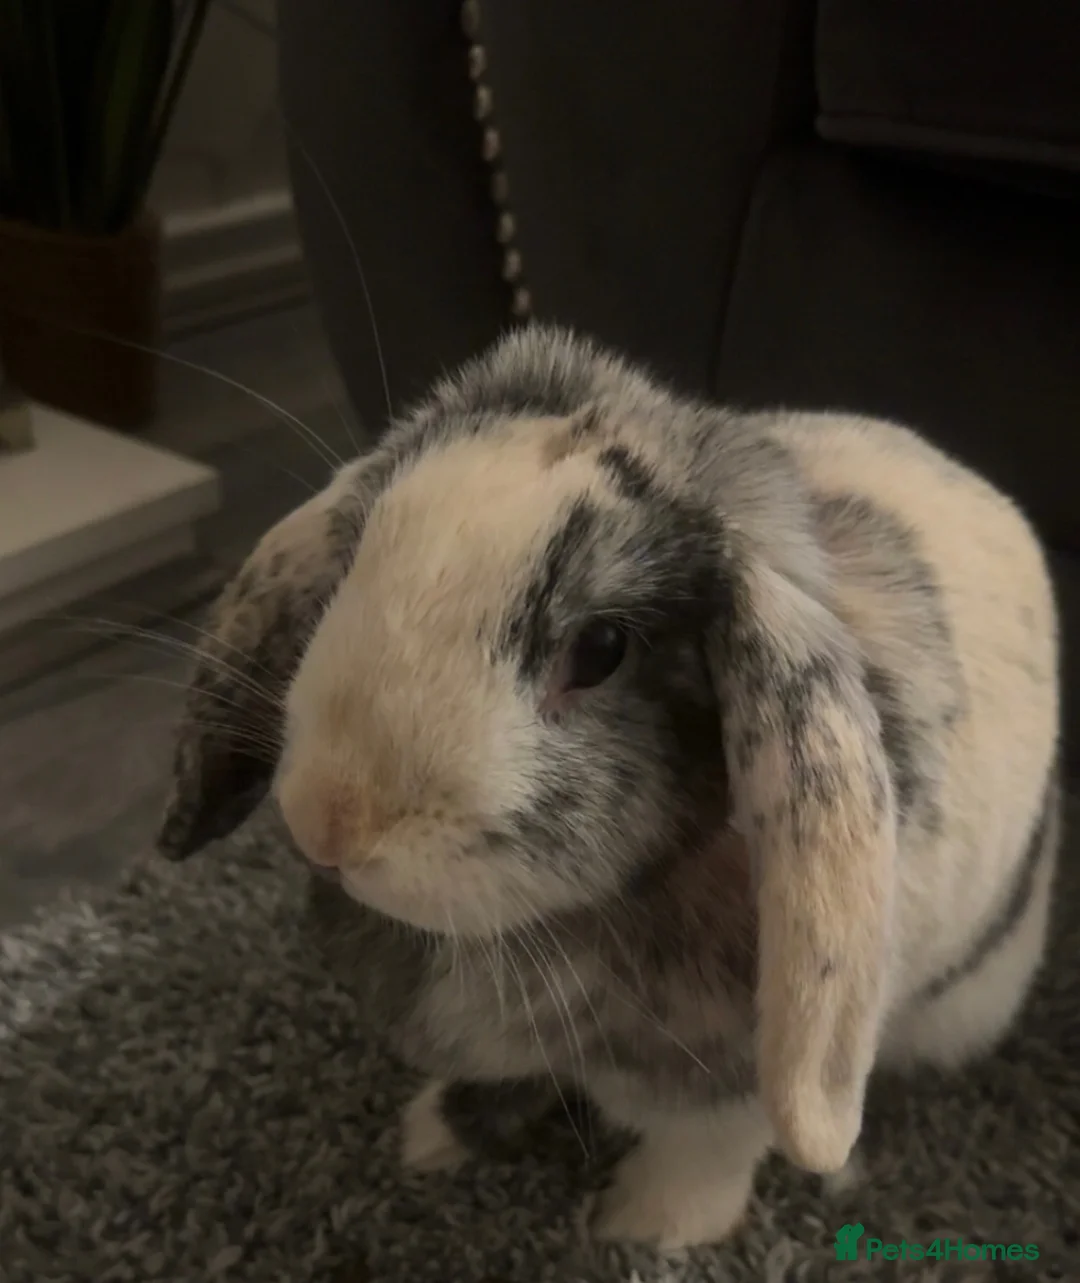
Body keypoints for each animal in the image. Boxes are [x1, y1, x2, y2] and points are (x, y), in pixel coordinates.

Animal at [157, 324, 1060, 1251]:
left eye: (601, 650)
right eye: (355, 560)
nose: (329, 822)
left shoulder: (731, 1092)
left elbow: (705, 1157)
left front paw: (640, 1230)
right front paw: (431, 1136)